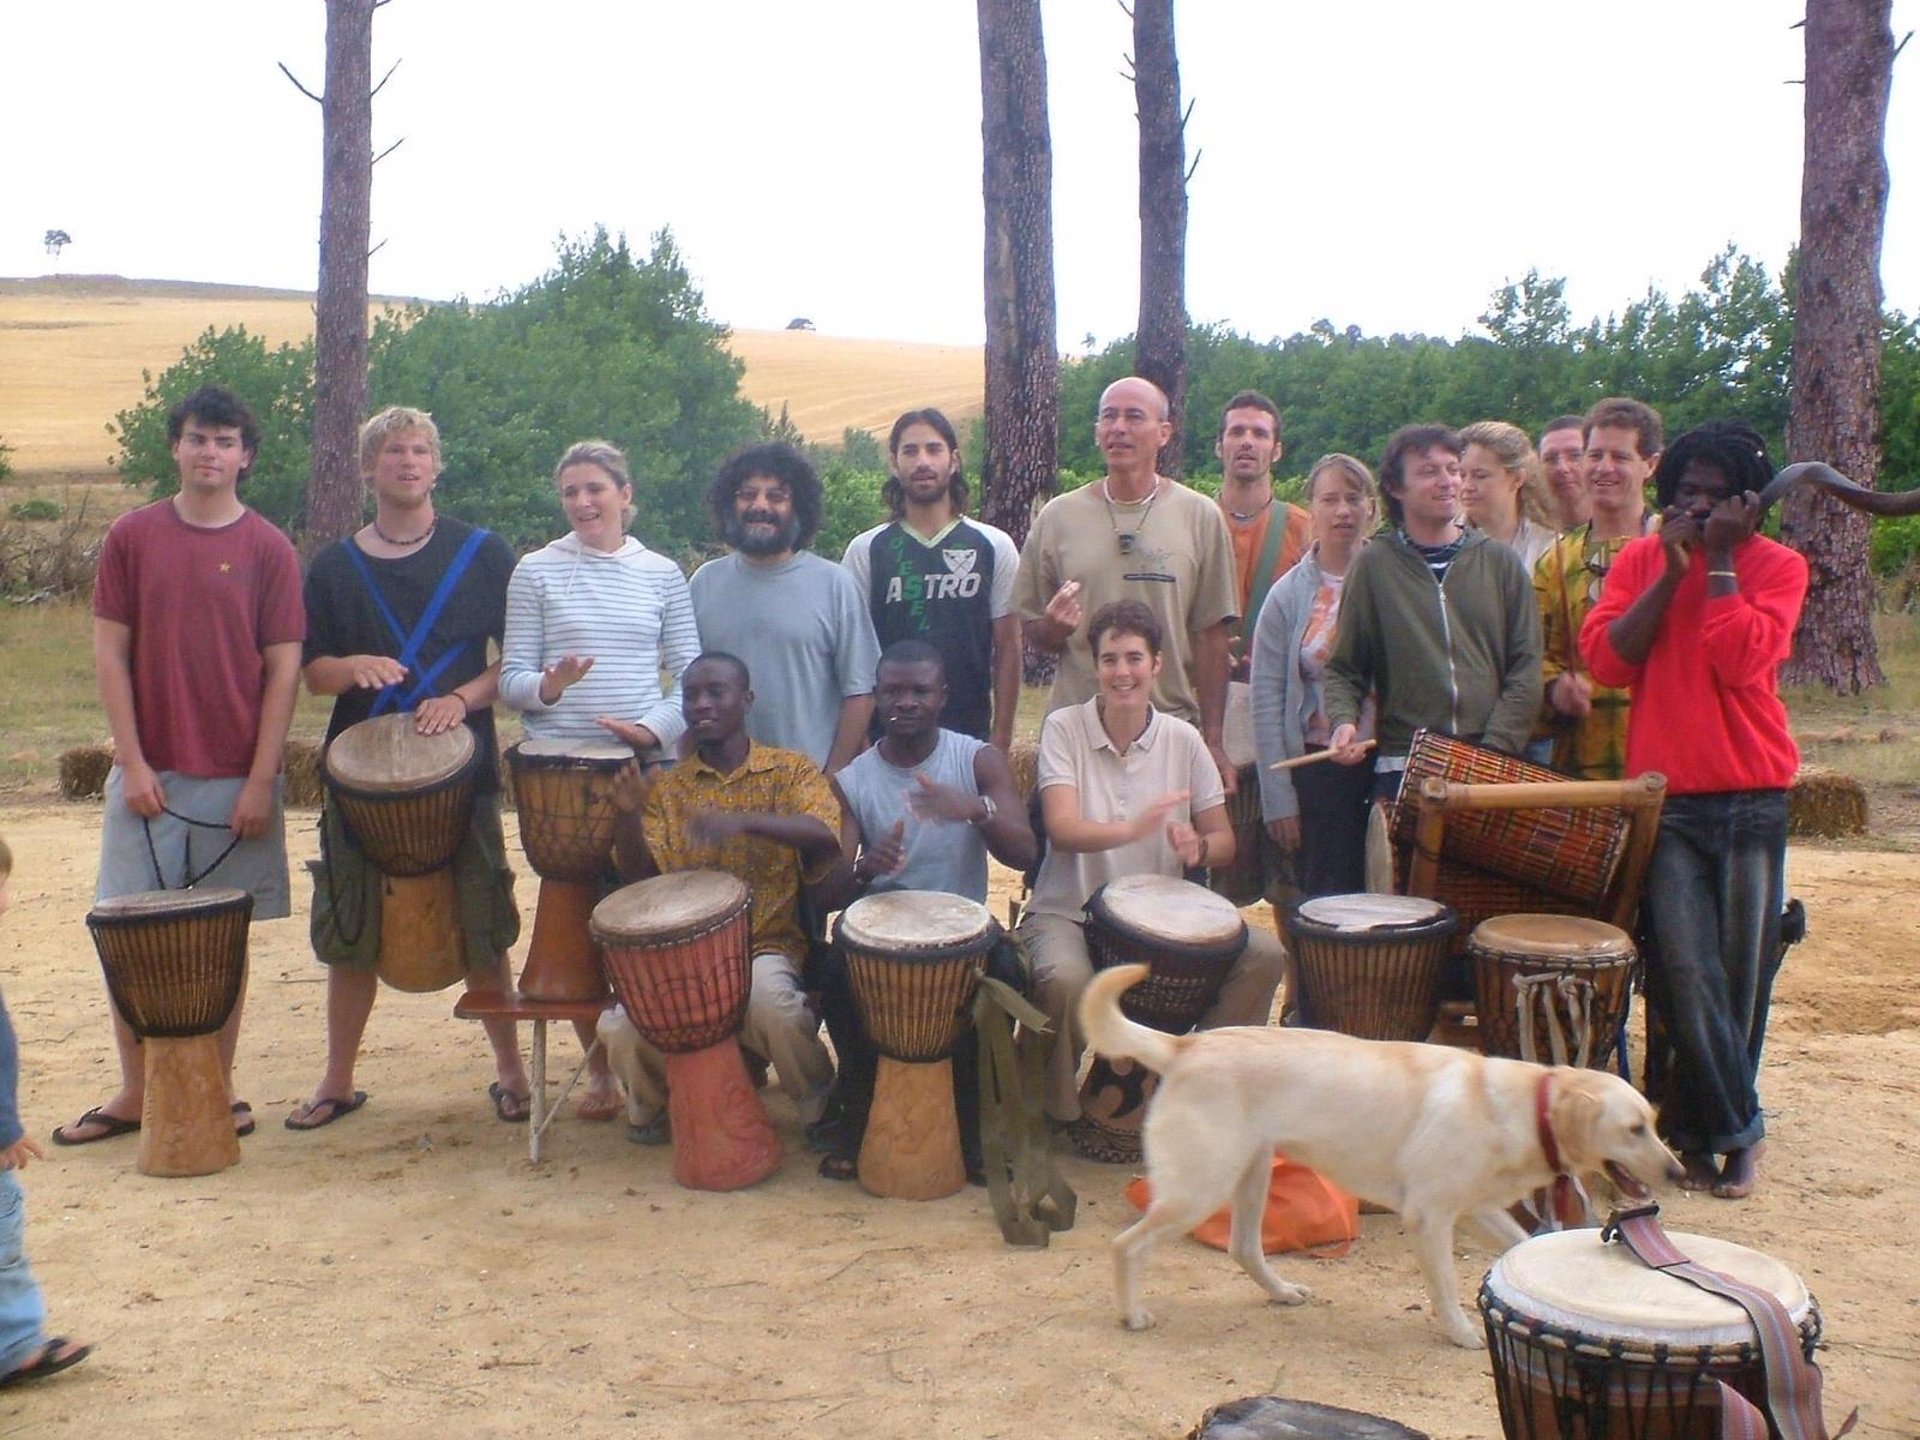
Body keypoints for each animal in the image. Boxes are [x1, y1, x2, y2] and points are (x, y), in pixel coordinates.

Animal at [1082, 963, 1681, 1351]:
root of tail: (1185, 1045)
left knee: (1244, 1249)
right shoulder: (1430, 1219)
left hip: (1248, 1178)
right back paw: (1131, 1314)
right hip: (1198, 1188)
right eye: (1633, 1130)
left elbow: (1518, 1246)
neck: (1525, 1105)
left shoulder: (1478, 1211)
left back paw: (1282, 1293)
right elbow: (1444, 1287)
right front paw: (1462, 1333)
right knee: (1125, 1246)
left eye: (1653, 1124)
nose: (1678, 1171)